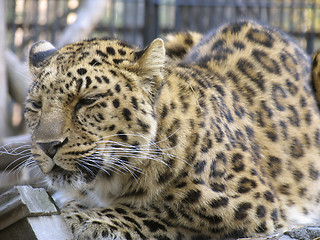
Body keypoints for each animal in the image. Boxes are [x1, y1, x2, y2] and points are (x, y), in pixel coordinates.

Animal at [25, 19, 320, 239]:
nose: (47, 146)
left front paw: (83, 216)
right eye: (36, 105)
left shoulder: (250, 204)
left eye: (87, 101)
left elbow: (158, 209)